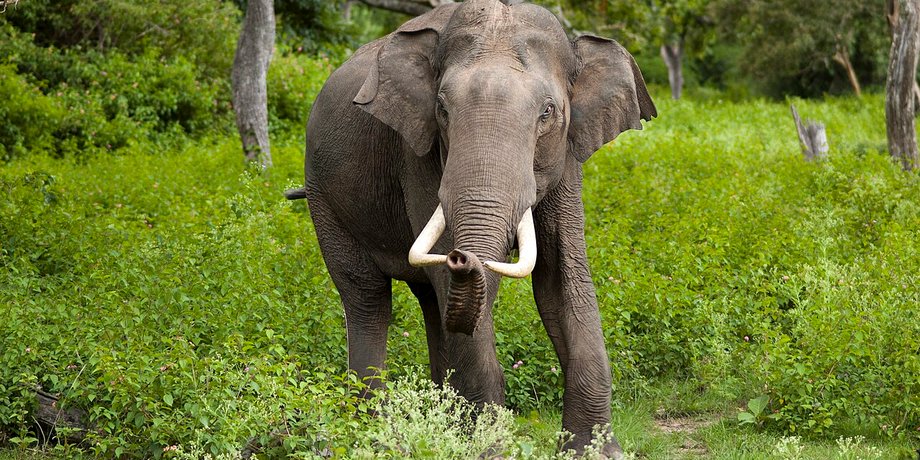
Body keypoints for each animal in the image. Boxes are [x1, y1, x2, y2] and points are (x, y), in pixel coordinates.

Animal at [285, 0, 655, 455]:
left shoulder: (567, 157)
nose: (462, 257)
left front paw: (596, 452)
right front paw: (487, 450)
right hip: (323, 196)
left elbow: (562, 279)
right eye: (442, 110)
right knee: (367, 297)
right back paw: (373, 432)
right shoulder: (418, 154)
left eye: (547, 112)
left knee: (431, 302)